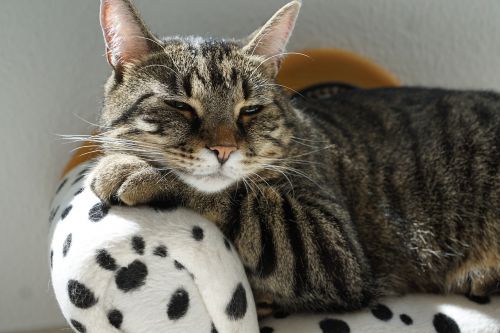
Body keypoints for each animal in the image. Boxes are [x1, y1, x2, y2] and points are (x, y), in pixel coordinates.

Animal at [89, 0, 500, 312]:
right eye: (180, 106)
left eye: (250, 110)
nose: (224, 149)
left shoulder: (331, 243)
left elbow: (243, 199)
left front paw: (128, 169)